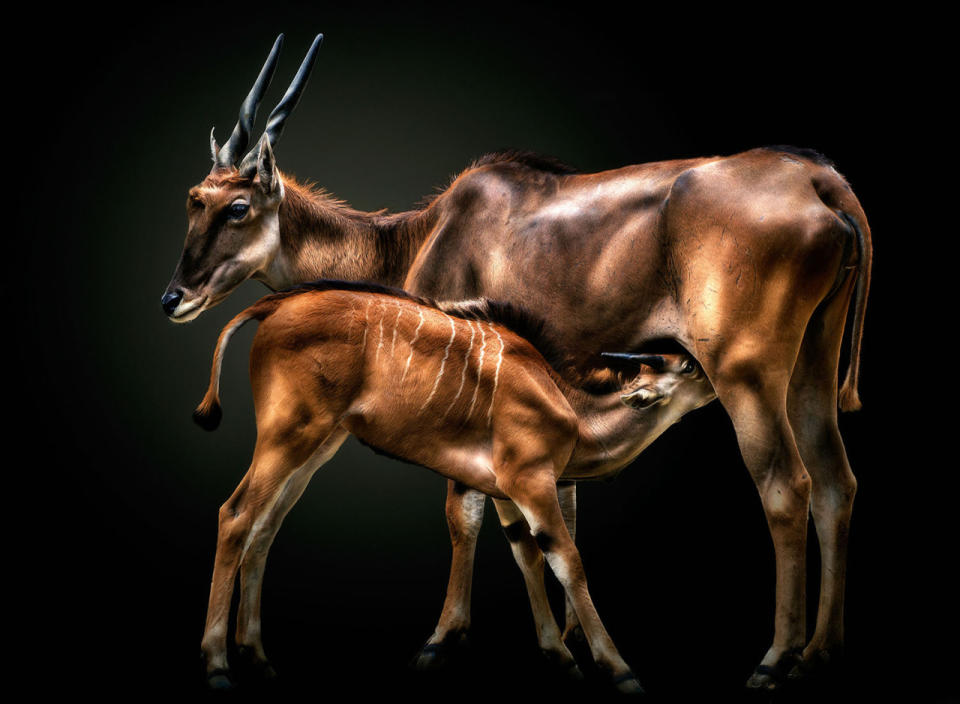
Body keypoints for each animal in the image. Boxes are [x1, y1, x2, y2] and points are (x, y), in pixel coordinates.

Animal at [195, 280, 716, 692]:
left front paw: (558, 654)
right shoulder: (530, 480)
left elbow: (525, 553)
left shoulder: (505, 490)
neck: (564, 402)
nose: (717, 374)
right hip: (289, 434)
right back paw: (218, 664)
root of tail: (272, 307)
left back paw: (257, 657)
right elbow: (566, 560)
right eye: (689, 368)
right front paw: (618, 669)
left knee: (265, 527)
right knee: (236, 514)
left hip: (317, 446)